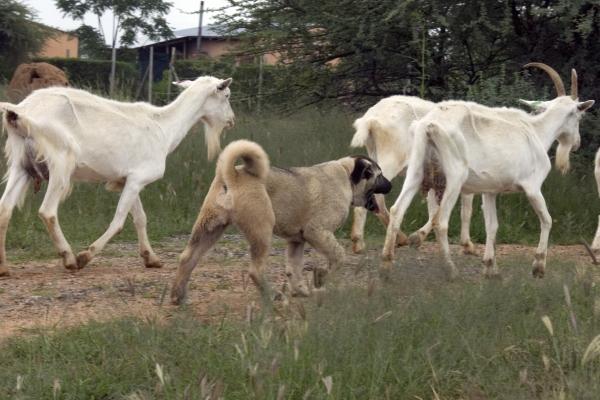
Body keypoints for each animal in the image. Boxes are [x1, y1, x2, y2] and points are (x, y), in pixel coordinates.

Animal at [0, 76, 234, 276]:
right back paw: (69, 258)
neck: (163, 128)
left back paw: (4, 267)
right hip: (61, 163)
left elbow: (140, 218)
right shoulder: (138, 178)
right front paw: (85, 256)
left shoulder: (129, 180)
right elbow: (120, 220)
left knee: (5, 208)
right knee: (47, 212)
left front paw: (151, 258)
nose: (232, 120)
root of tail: (21, 110)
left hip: (22, 166)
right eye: (226, 95)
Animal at [170, 140, 394, 304]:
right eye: (379, 175)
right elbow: (338, 257)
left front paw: (301, 290)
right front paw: (321, 277)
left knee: (188, 258)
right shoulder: (318, 232)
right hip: (261, 231)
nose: (391, 184)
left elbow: (294, 268)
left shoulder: (297, 241)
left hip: (209, 228)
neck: (347, 175)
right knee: (256, 270)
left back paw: (177, 296)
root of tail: (233, 175)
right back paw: (270, 296)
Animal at [350, 95, 476, 255]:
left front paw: (418, 237)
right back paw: (359, 243)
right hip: (392, 158)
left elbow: (434, 208)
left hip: (374, 155)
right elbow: (465, 210)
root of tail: (370, 120)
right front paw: (468, 245)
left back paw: (400, 238)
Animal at [382, 64, 592, 280]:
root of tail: (428, 125)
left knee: (397, 210)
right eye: (579, 116)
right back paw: (450, 269)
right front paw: (538, 266)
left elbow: (492, 225)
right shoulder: (532, 186)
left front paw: (490, 267)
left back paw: (386, 266)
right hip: (455, 177)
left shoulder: (490, 191)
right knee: (441, 220)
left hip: (416, 171)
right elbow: (547, 220)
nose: (577, 143)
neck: (536, 131)